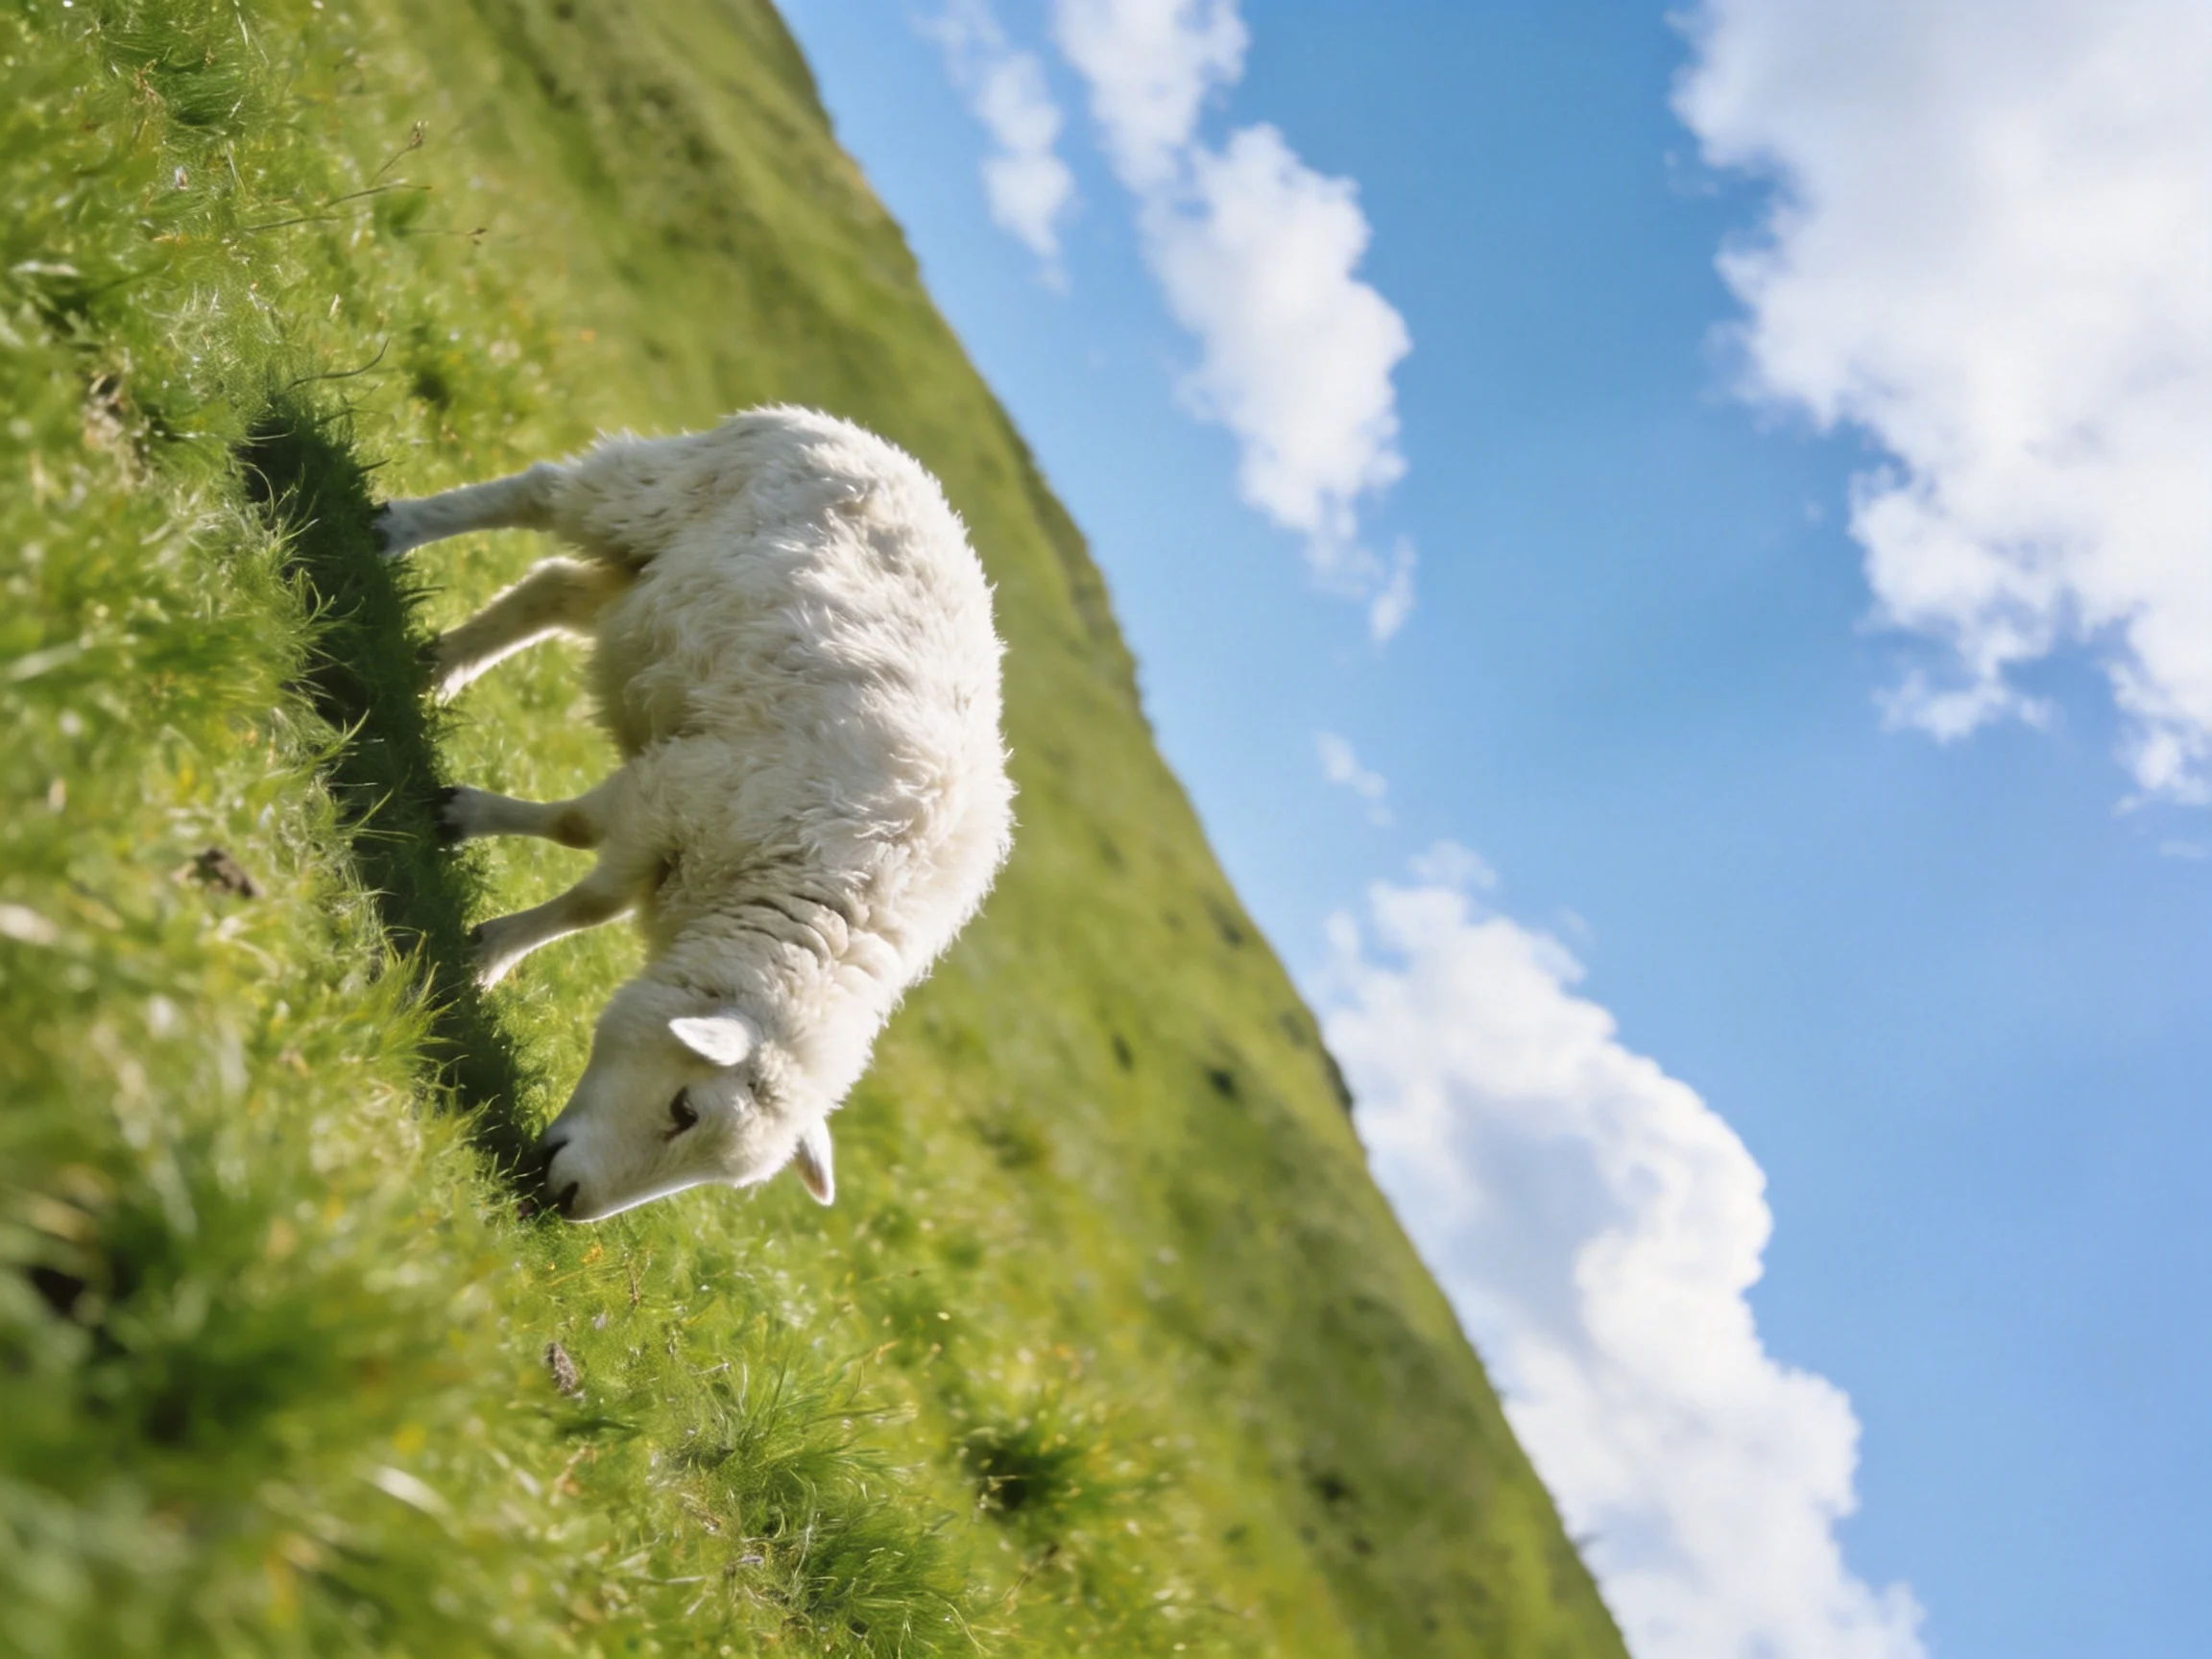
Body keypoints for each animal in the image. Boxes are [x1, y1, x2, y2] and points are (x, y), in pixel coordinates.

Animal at [375, 407, 1014, 1222]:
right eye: (685, 1108)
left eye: (713, 1174)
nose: (566, 1201)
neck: (842, 897)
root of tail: (883, 449)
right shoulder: (686, 788)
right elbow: (589, 875)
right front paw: (483, 924)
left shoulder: (683, 802)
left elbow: (594, 883)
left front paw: (485, 932)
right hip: (658, 493)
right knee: (544, 494)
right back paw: (400, 528)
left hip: (654, 588)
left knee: (556, 588)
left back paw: (444, 666)